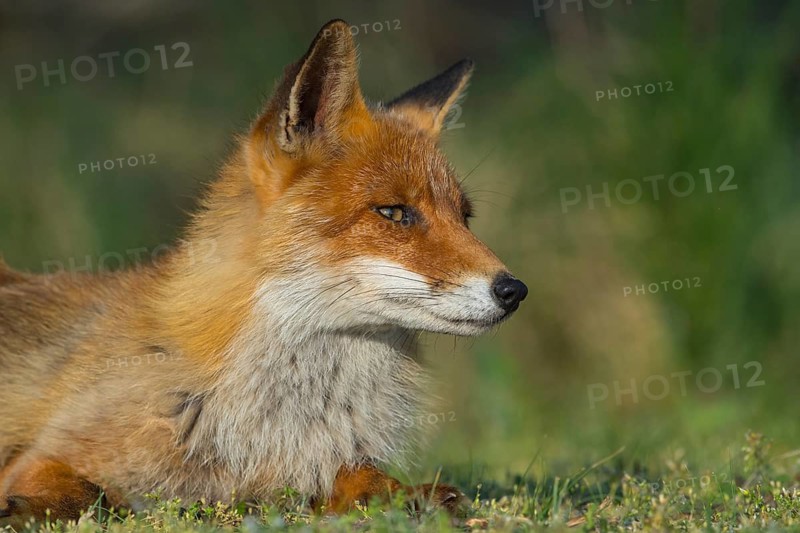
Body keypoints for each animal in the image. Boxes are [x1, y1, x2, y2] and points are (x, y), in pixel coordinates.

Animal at [0, 19, 527, 525]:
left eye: (464, 217)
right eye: (394, 213)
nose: (514, 290)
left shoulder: (324, 462)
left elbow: (371, 479)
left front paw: (415, 497)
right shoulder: (46, 453)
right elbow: (86, 493)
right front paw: (26, 509)